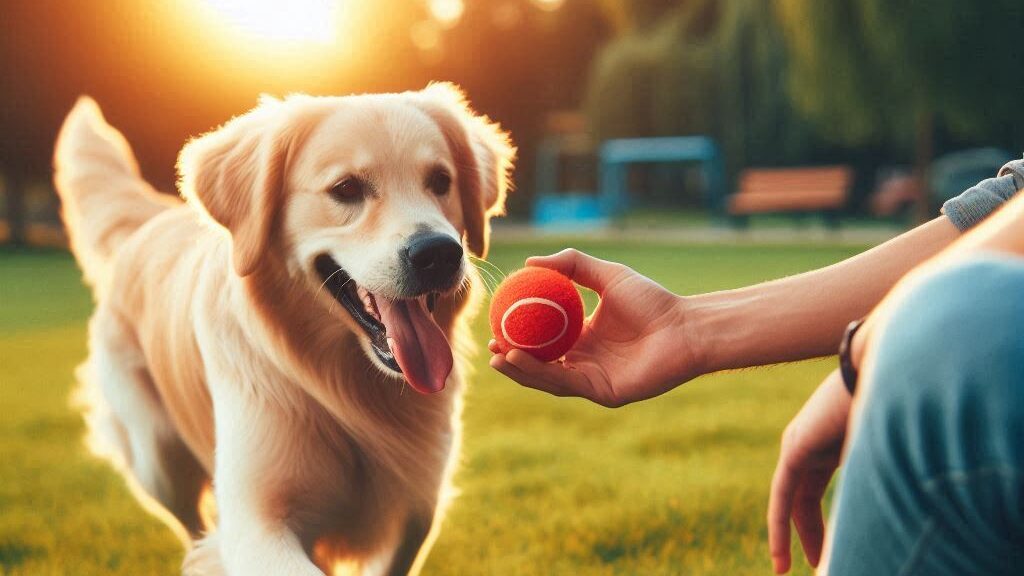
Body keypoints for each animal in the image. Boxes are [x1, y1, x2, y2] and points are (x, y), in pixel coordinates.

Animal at [50, 81, 512, 573]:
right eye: (346, 188)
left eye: (441, 181)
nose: (438, 254)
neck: (347, 389)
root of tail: (154, 219)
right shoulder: (258, 520)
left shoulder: (415, 508)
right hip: (157, 456)